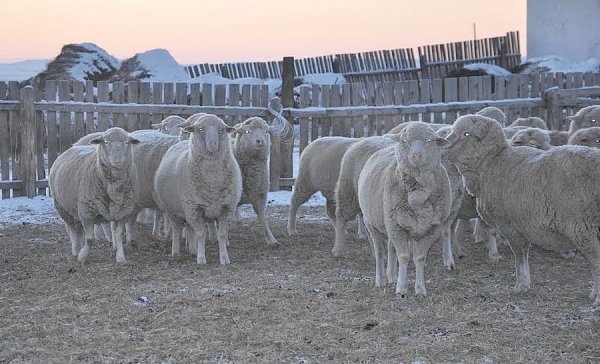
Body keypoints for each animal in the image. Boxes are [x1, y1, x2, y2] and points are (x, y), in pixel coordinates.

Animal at [48, 126, 140, 264]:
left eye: (126, 142)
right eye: (106, 142)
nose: (117, 159)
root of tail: (73, 147)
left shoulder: (124, 212)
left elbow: (118, 235)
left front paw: (120, 257)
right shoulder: (87, 212)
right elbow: (90, 239)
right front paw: (82, 256)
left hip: (76, 208)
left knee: (78, 229)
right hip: (62, 207)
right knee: (70, 228)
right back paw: (76, 249)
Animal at [152, 114, 241, 264]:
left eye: (222, 129)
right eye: (200, 129)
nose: (212, 144)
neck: (212, 180)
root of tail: (181, 143)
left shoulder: (226, 208)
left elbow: (222, 235)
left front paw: (224, 259)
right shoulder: (194, 208)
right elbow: (201, 234)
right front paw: (201, 259)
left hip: (187, 211)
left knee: (188, 228)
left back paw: (192, 249)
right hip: (173, 211)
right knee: (176, 229)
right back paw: (175, 250)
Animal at [356, 122, 450, 296]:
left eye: (429, 140)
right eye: (405, 141)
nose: (416, 155)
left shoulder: (431, 229)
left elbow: (419, 258)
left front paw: (420, 289)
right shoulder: (396, 227)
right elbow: (404, 257)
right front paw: (401, 289)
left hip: (397, 225)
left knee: (390, 247)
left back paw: (391, 275)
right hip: (372, 223)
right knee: (379, 251)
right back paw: (381, 279)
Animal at [442, 114, 600, 302]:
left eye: (466, 134)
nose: (442, 146)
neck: (492, 162)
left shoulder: (511, 225)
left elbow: (519, 256)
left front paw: (521, 285)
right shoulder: (521, 226)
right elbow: (523, 254)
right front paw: (525, 283)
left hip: (583, 229)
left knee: (596, 261)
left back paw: (596, 296)